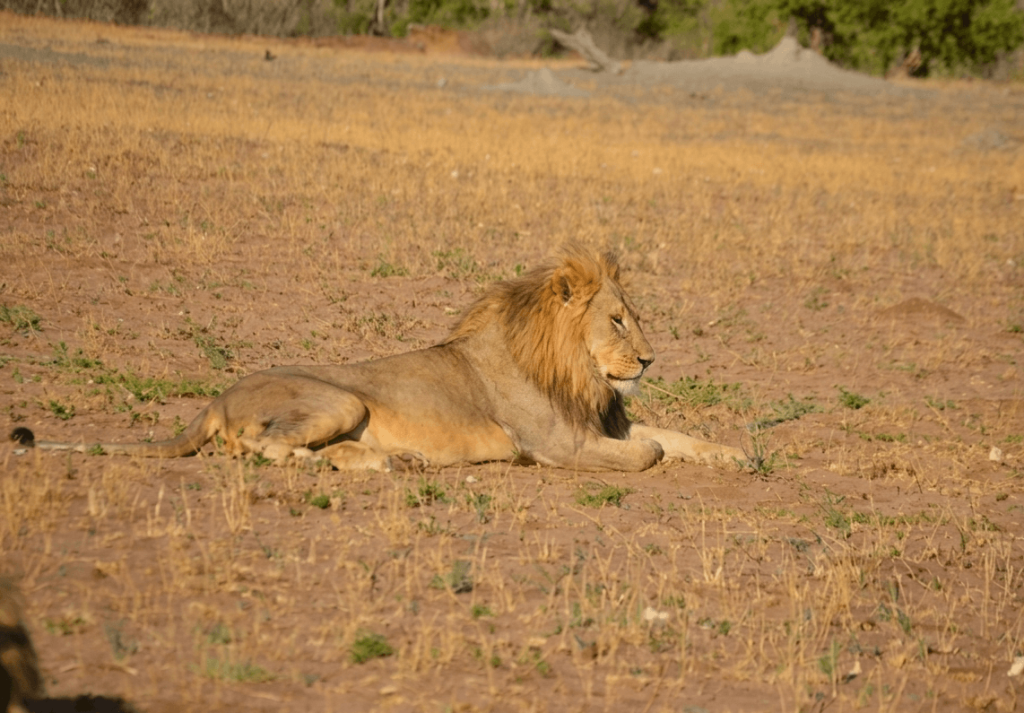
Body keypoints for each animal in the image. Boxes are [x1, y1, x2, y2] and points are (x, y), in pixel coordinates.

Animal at [11, 246, 745, 472]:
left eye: (635, 316)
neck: (575, 370)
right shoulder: (555, 444)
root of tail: (215, 397)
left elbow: (675, 434)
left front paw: (737, 454)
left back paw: (394, 460)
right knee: (254, 445)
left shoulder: (602, 421)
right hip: (339, 398)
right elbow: (649, 451)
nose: (649, 361)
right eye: (617, 319)